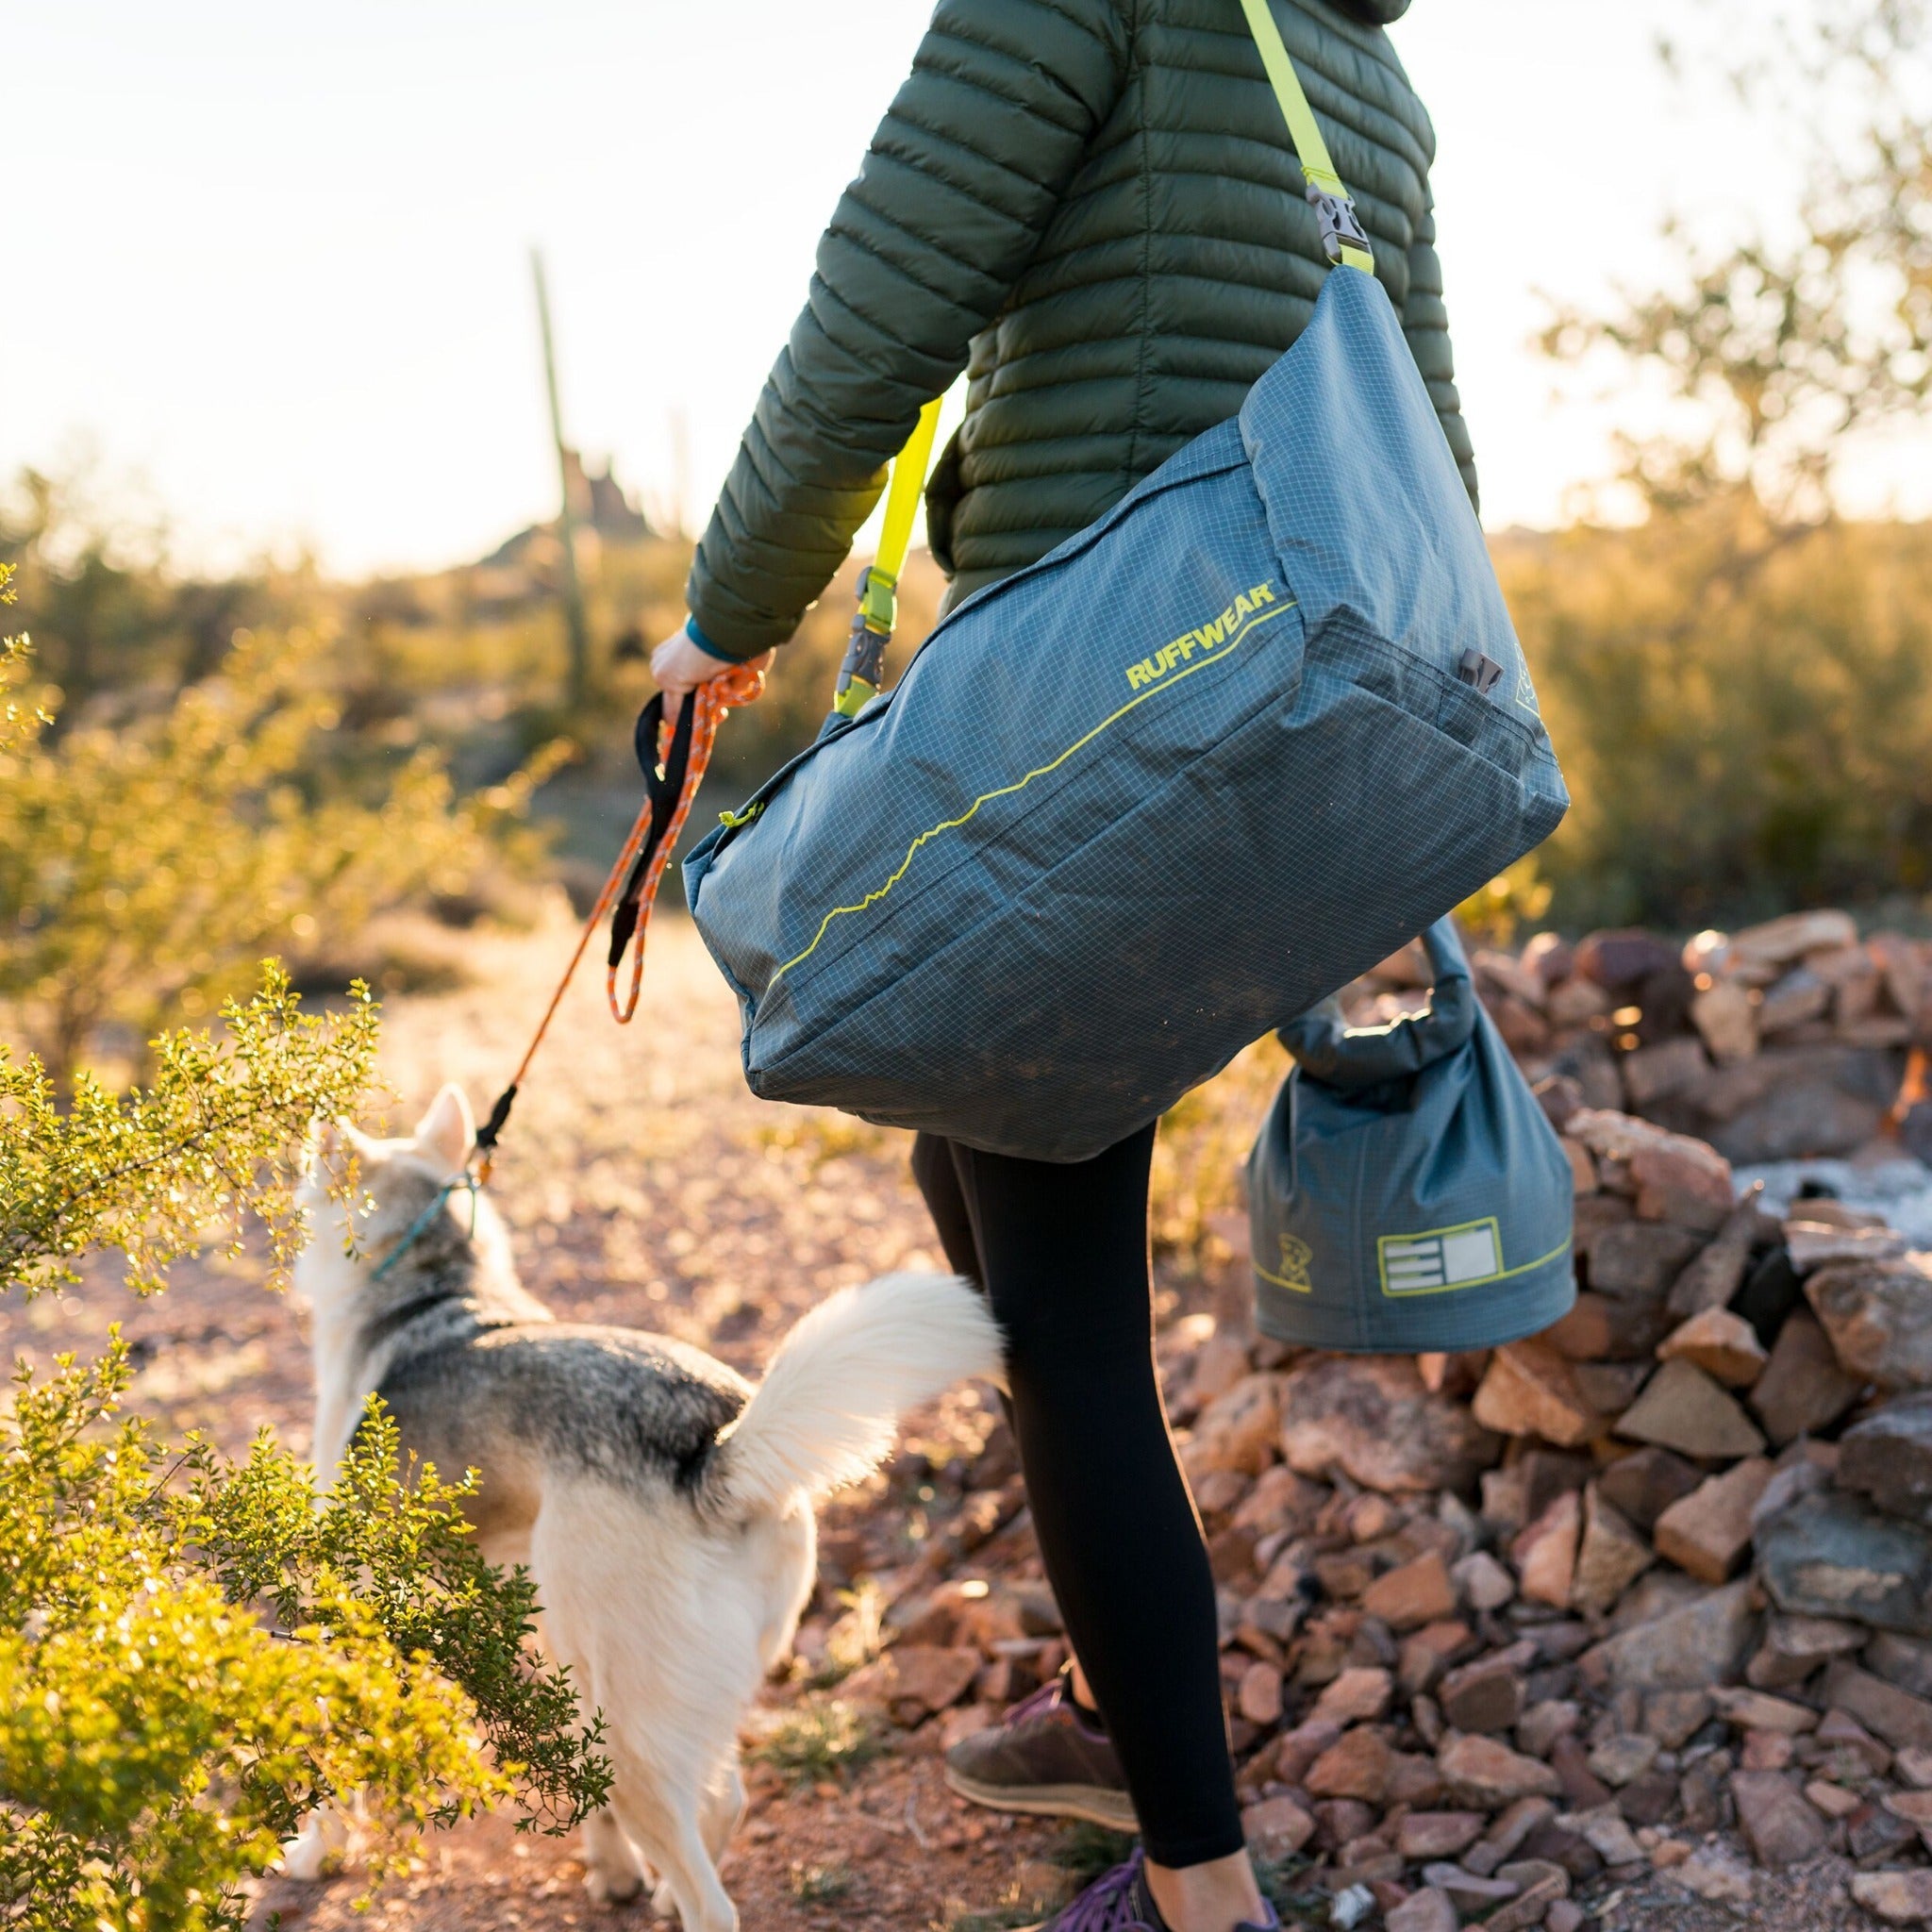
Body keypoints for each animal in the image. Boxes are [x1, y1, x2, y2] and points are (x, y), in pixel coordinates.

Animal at [293, 1090, 1004, 1932]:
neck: (432, 1284)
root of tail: (713, 1449)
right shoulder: (539, 1634)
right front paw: (614, 1873)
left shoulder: (360, 1614)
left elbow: (334, 1752)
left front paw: (313, 1850)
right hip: (681, 1689)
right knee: (723, 1799)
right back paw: (659, 1886)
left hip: (630, 1727)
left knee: (713, 1899)